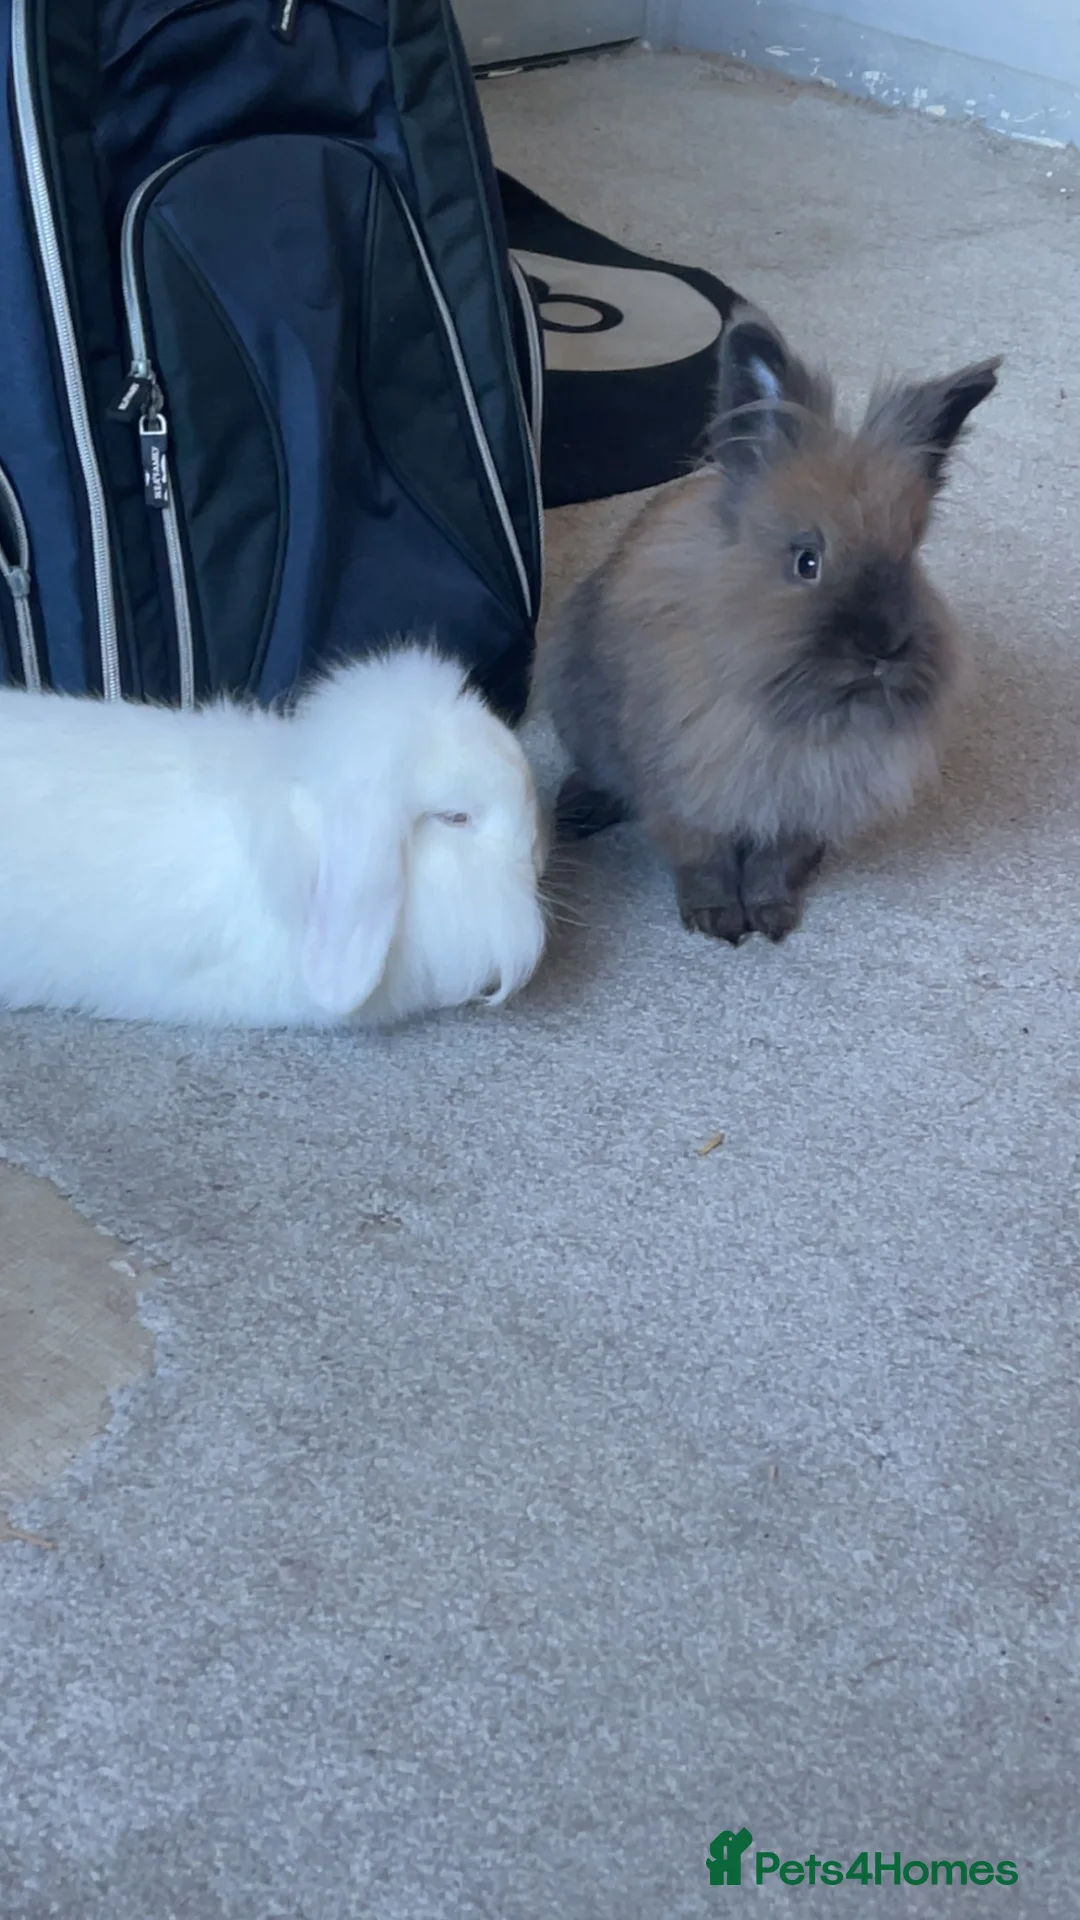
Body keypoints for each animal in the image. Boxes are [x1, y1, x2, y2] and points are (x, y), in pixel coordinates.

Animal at [539, 300, 1001, 944]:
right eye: (807, 561)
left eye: (909, 558)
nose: (882, 649)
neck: (801, 716)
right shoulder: (685, 795)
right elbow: (703, 861)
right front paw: (716, 923)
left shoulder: (803, 809)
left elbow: (775, 864)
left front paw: (772, 919)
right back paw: (577, 809)